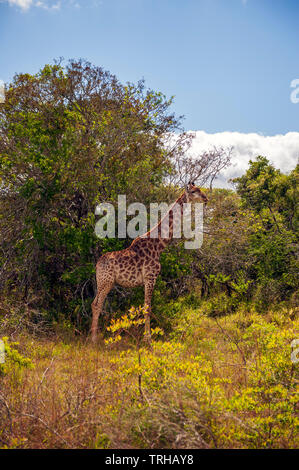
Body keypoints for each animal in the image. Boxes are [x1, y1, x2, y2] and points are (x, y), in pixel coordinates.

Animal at [91, 183, 209, 342]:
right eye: (194, 191)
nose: (206, 198)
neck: (158, 245)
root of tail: (97, 265)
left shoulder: (148, 279)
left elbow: (145, 306)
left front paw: (147, 336)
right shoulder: (150, 277)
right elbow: (147, 307)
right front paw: (148, 339)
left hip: (102, 282)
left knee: (94, 303)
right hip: (106, 282)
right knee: (97, 304)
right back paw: (94, 339)